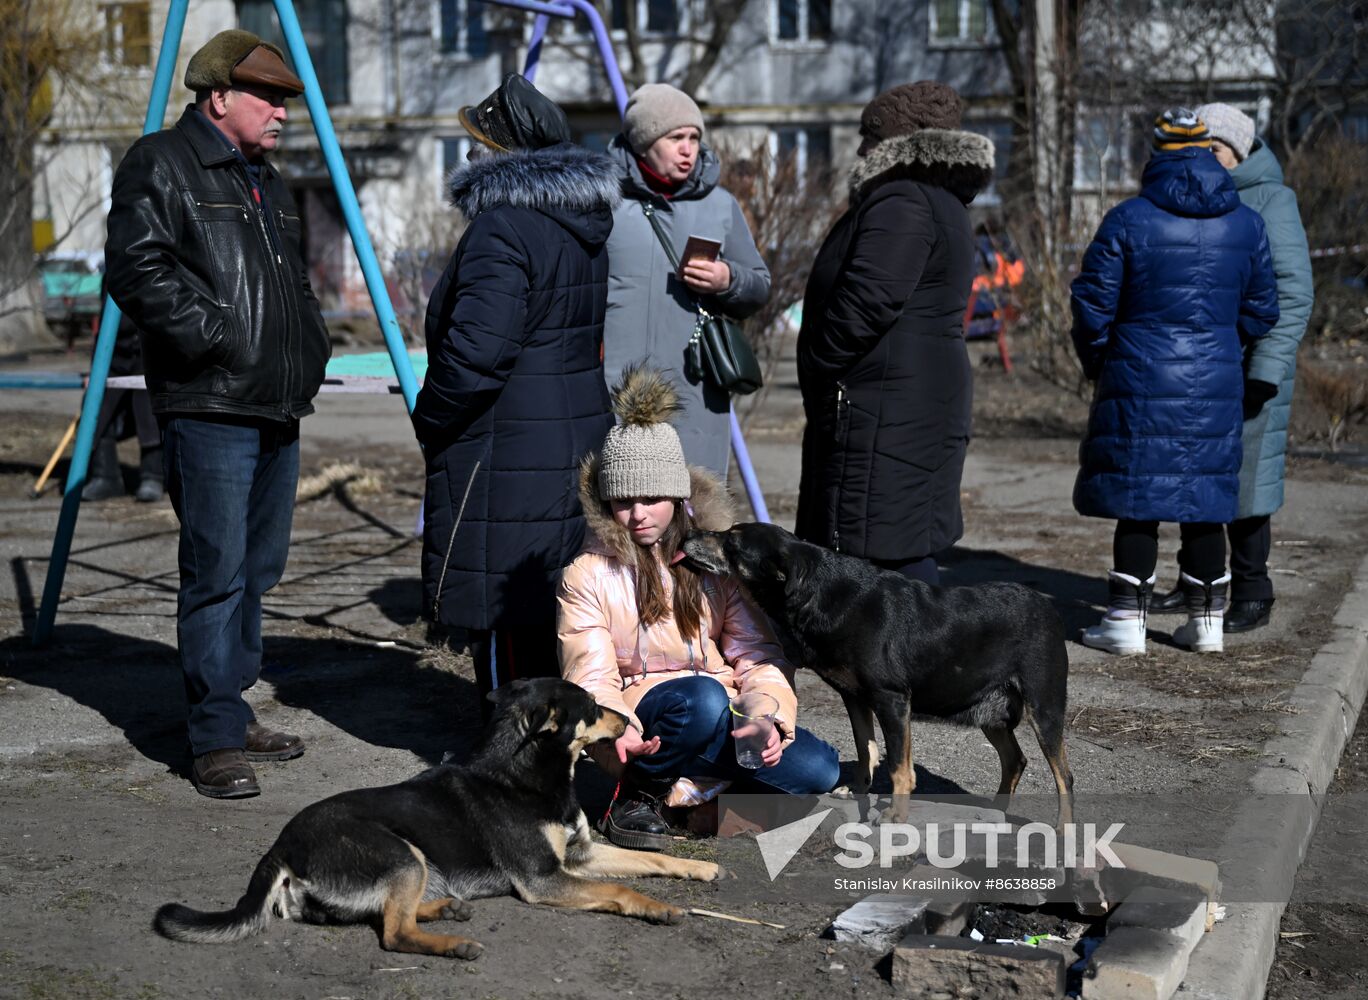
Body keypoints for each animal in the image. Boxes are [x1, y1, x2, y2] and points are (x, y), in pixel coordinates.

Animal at [156, 681, 722, 963]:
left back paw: (447, 908)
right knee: (393, 934)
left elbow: (650, 858)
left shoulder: (580, 853)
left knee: (389, 914)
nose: (629, 721)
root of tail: (281, 844)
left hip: (408, 868)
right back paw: (454, 944)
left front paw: (700, 869)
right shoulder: (545, 878)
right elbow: (623, 890)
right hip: (402, 853)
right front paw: (659, 909)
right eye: (590, 706)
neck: (522, 771)